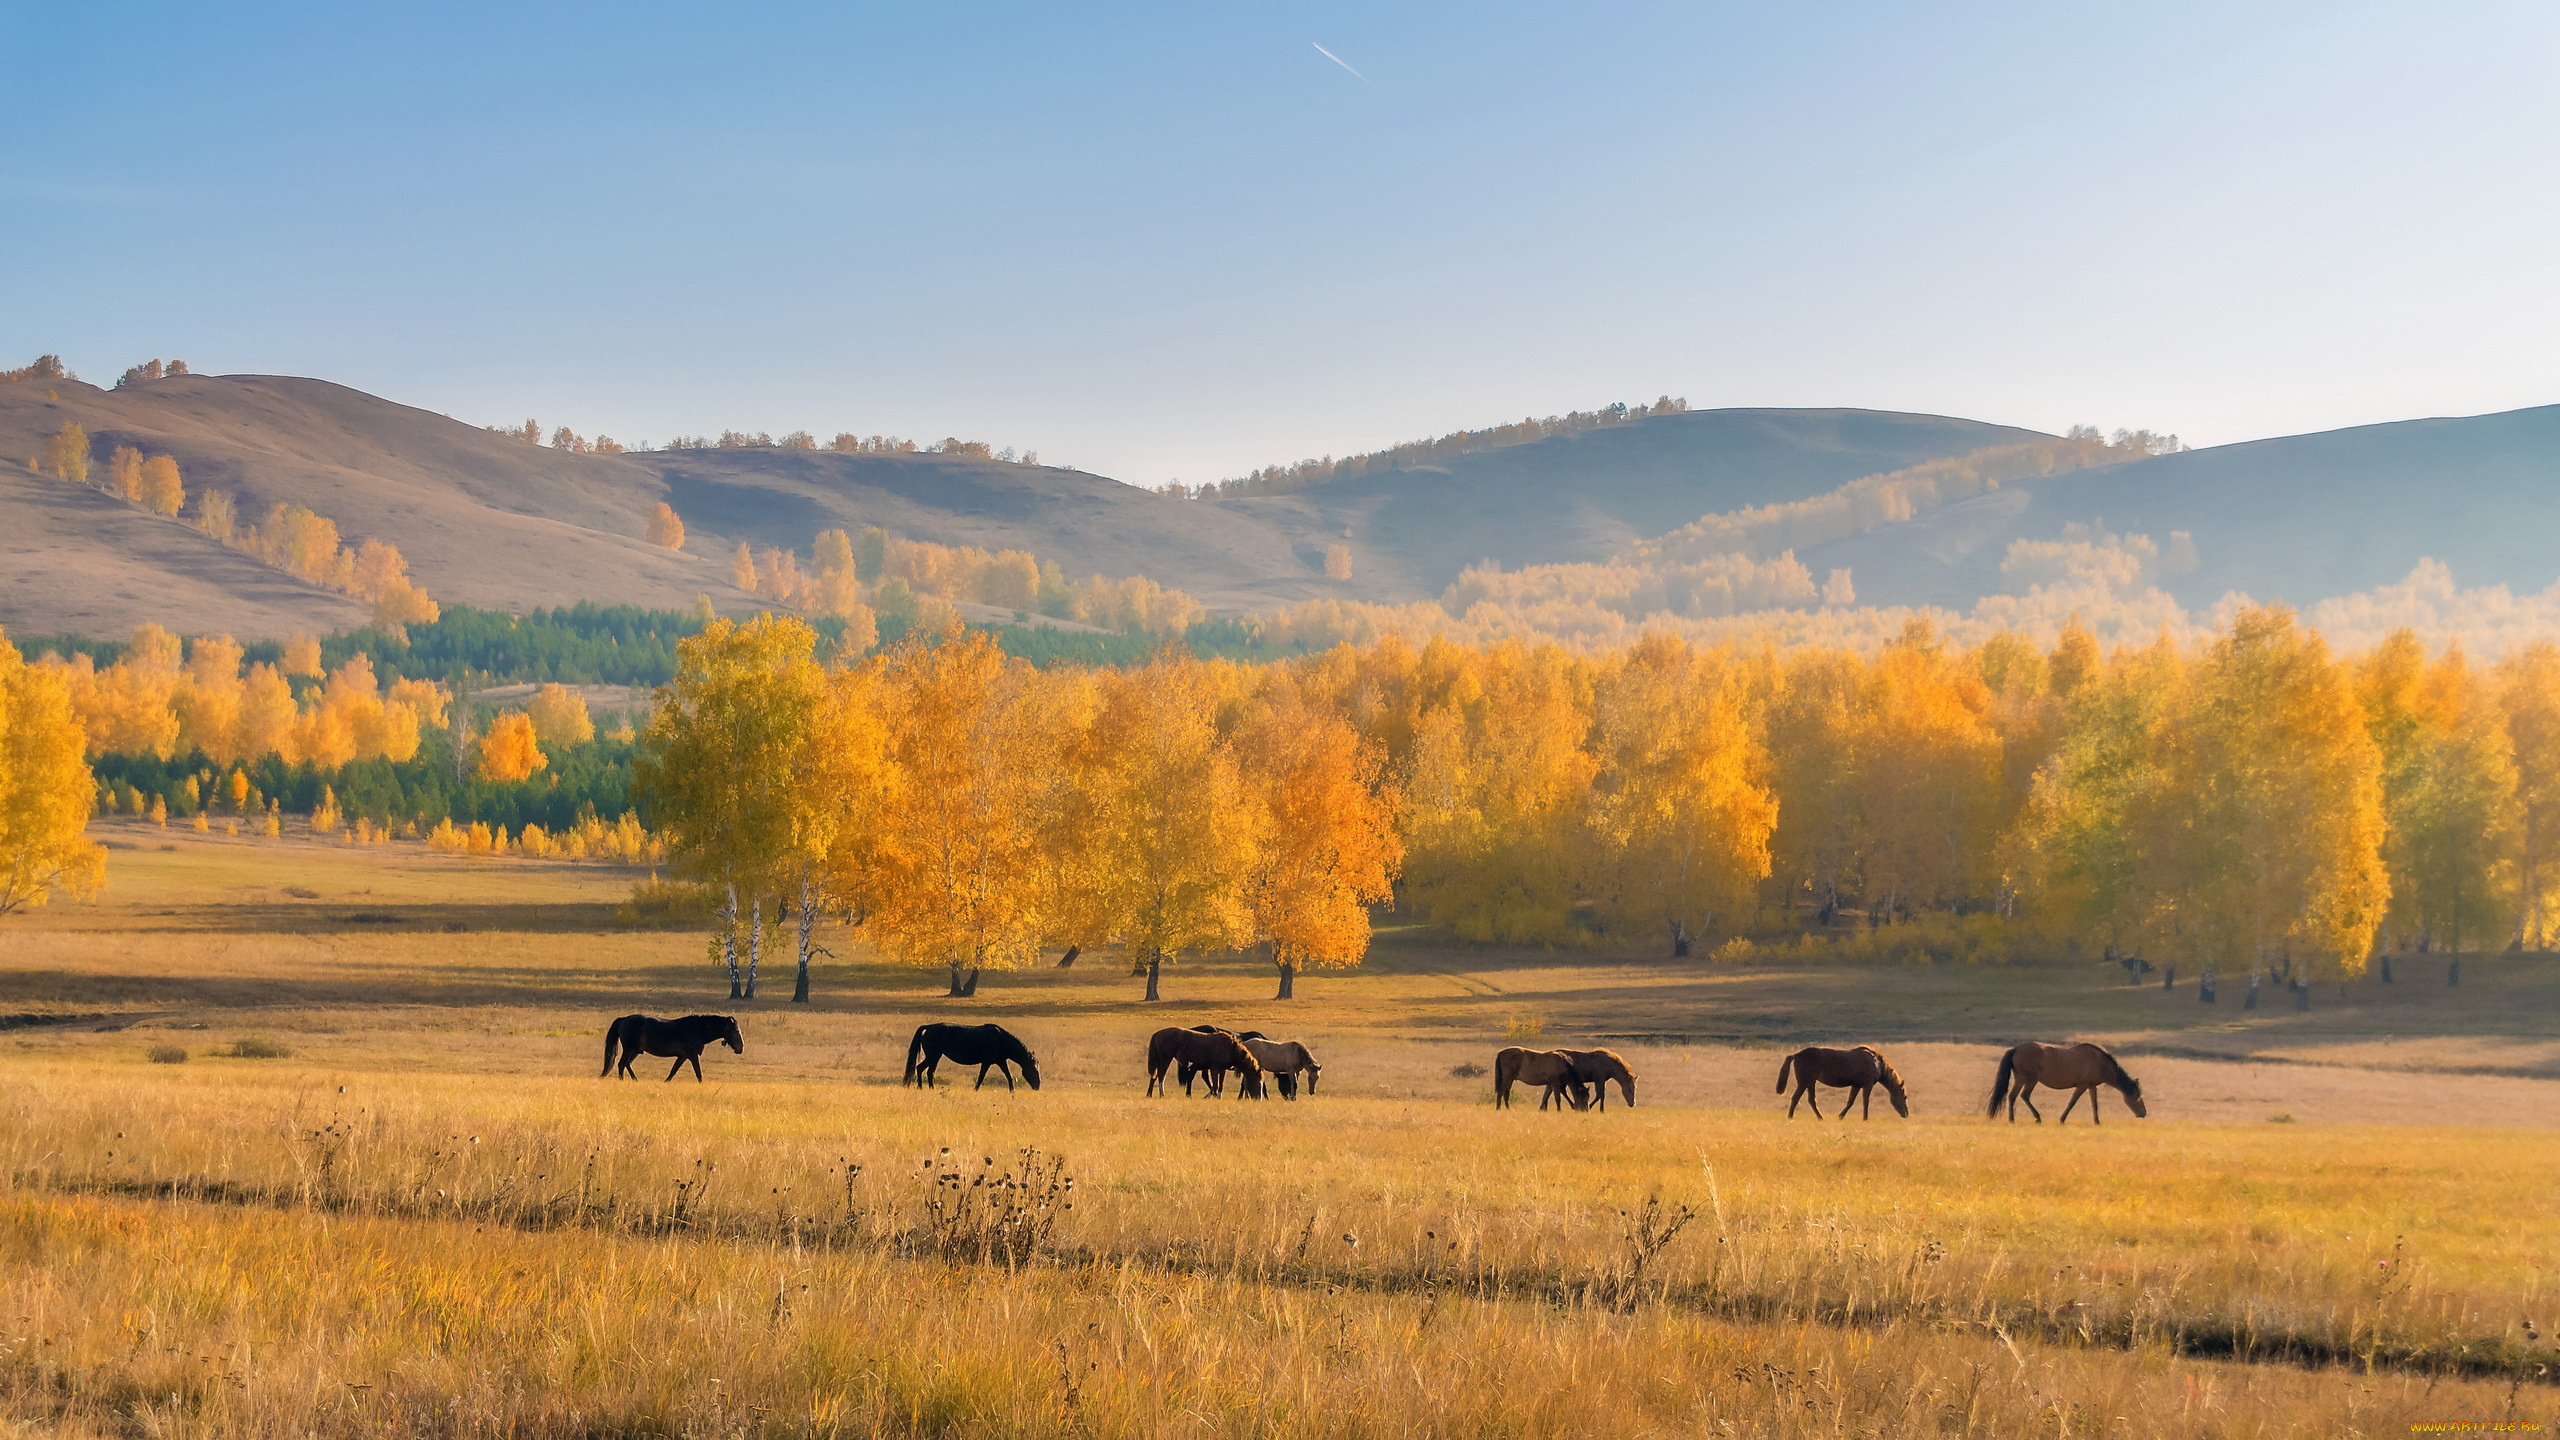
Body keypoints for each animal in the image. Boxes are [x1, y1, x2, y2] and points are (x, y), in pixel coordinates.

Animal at [604, 1009, 747, 1076]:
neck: (698, 1029)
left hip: (635, 1050)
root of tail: (623, 1019)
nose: (740, 1049)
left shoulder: (683, 1056)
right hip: (629, 1049)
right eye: (736, 1031)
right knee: (622, 1064)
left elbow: (673, 1071)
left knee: (627, 1064)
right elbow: (698, 1073)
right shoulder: (692, 1055)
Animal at [901, 1019, 1039, 1086]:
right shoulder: (987, 1062)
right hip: (932, 1056)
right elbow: (981, 1078)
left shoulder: (1000, 1061)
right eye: (1033, 1069)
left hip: (936, 1057)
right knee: (920, 1068)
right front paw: (975, 1090)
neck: (1001, 1039)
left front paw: (1012, 1093)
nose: (1038, 1086)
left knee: (929, 1072)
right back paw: (920, 1087)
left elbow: (1009, 1077)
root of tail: (928, 1027)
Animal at [1986, 1040, 2150, 1122]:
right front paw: (2062, 1119)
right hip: (2030, 1080)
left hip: (2021, 1079)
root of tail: (2015, 1049)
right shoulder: (2082, 1086)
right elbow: (2072, 1102)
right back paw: (2036, 1118)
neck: (2100, 1062)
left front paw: (2097, 1121)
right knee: (2023, 1096)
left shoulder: (2092, 1086)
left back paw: (2012, 1119)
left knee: (2012, 1096)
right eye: (2138, 1097)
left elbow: (2094, 1104)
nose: (2143, 1113)